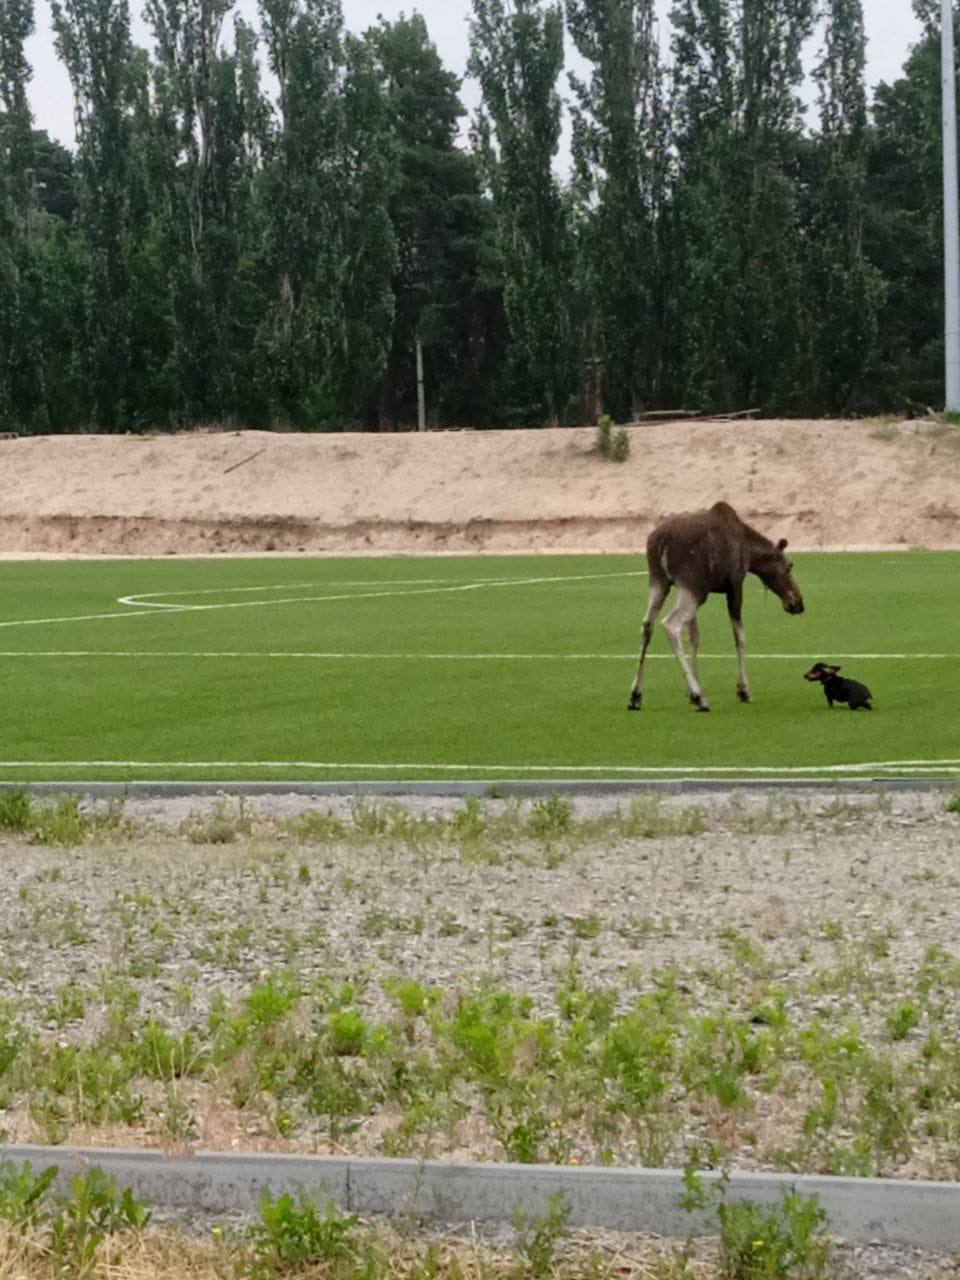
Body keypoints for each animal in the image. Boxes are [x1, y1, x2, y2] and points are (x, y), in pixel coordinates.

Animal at [627, 504, 808, 716]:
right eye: (789, 565)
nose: (798, 603)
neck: (750, 553)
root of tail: (661, 543)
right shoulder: (735, 584)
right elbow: (739, 637)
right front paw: (743, 690)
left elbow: (694, 638)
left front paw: (690, 689)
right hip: (694, 586)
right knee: (670, 625)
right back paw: (700, 698)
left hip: (659, 582)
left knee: (647, 625)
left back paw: (635, 695)